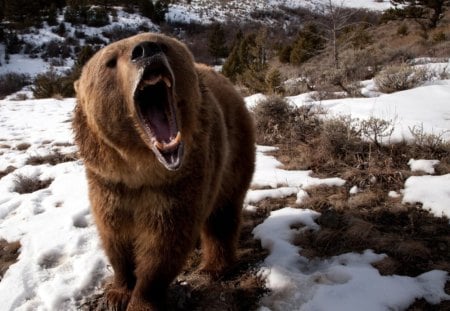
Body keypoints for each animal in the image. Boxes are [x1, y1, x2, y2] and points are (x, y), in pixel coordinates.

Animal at [74, 33, 256, 310]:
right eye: (110, 61)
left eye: (162, 44)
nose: (145, 50)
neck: (140, 170)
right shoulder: (108, 183)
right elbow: (115, 237)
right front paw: (118, 292)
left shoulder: (179, 183)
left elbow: (164, 244)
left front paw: (141, 300)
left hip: (233, 154)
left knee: (222, 214)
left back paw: (213, 267)